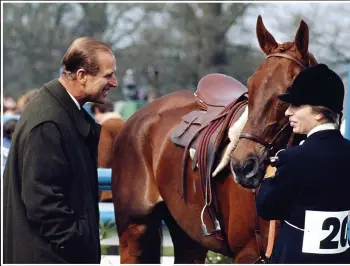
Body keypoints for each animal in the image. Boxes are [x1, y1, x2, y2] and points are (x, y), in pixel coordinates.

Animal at [112, 16, 318, 264]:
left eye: (289, 89)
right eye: (251, 85)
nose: (243, 165)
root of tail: (137, 117)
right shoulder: (248, 254)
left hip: (188, 237)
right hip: (134, 230)